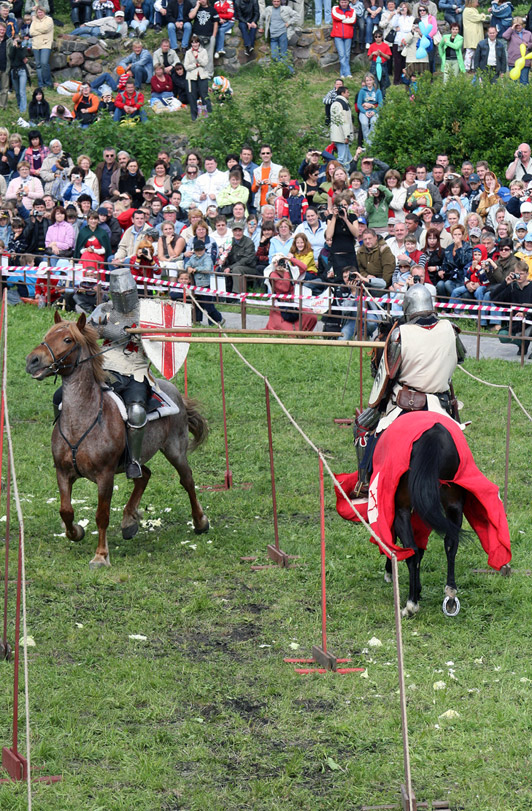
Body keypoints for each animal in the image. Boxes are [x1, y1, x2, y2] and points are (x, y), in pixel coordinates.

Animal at [26, 310, 210, 572]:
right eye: (47, 335)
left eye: (67, 340)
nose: (32, 361)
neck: (82, 419)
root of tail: (174, 391)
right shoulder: (63, 472)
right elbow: (66, 511)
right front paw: (76, 532)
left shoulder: (105, 476)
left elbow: (101, 515)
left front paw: (101, 556)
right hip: (134, 460)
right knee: (144, 475)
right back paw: (129, 521)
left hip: (175, 449)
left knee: (187, 480)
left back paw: (200, 521)